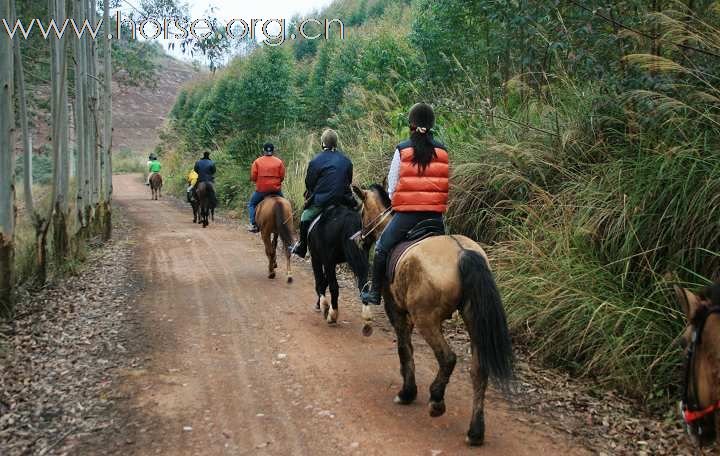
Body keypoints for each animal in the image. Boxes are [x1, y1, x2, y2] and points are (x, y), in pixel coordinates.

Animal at [352, 184, 512, 446]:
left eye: (360, 210)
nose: (359, 240)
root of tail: (462, 253)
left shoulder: (397, 311)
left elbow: (404, 349)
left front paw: (407, 393)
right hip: (472, 318)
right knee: (479, 371)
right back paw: (475, 432)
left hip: (426, 319)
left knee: (448, 358)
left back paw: (436, 400)